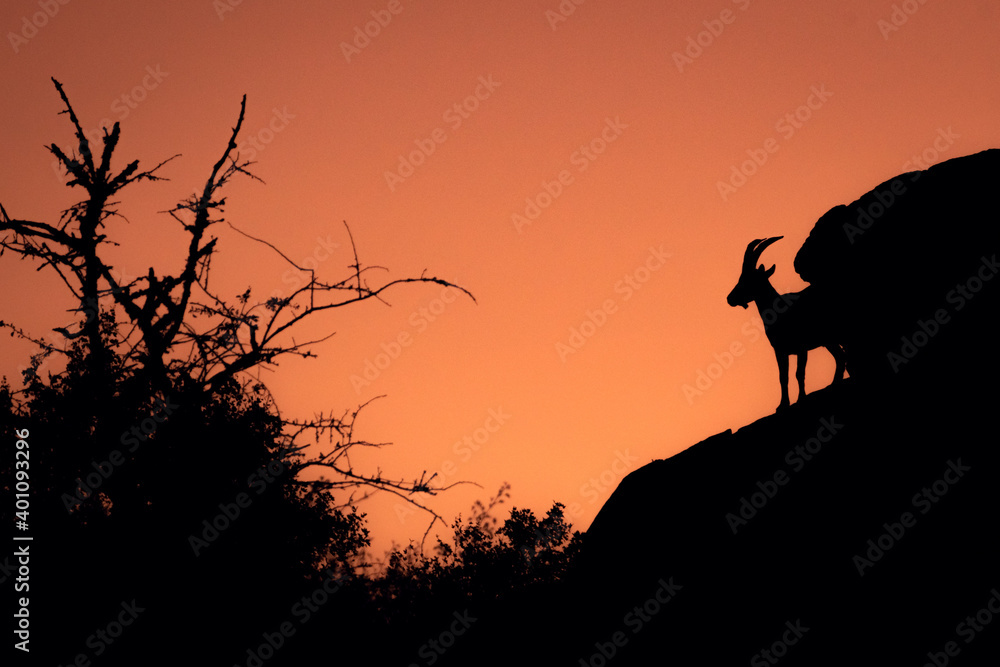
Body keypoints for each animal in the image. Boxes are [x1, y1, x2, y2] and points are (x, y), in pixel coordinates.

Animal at [728, 237, 844, 410]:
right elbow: (783, 377)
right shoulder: (780, 350)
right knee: (840, 356)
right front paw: (782, 405)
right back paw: (834, 384)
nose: (730, 298)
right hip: (829, 341)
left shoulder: (801, 347)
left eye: (748, 279)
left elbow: (799, 373)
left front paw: (801, 398)